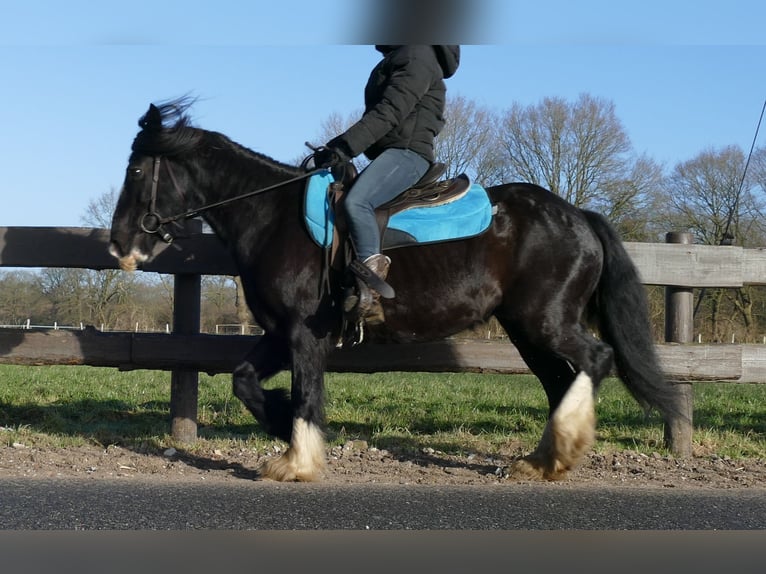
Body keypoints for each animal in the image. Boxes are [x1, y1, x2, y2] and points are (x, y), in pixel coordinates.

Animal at [109, 101, 688, 484]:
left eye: (135, 169)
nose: (119, 244)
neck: (272, 217)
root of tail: (579, 216)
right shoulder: (278, 332)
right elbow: (245, 381)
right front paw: (280, 426)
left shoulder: (303, 335)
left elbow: (305, 393)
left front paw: (298, 458)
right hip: (528, 329)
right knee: (560, 380)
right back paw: (545, 458)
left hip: (547, 321)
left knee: (596, 358)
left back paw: (560, 448)